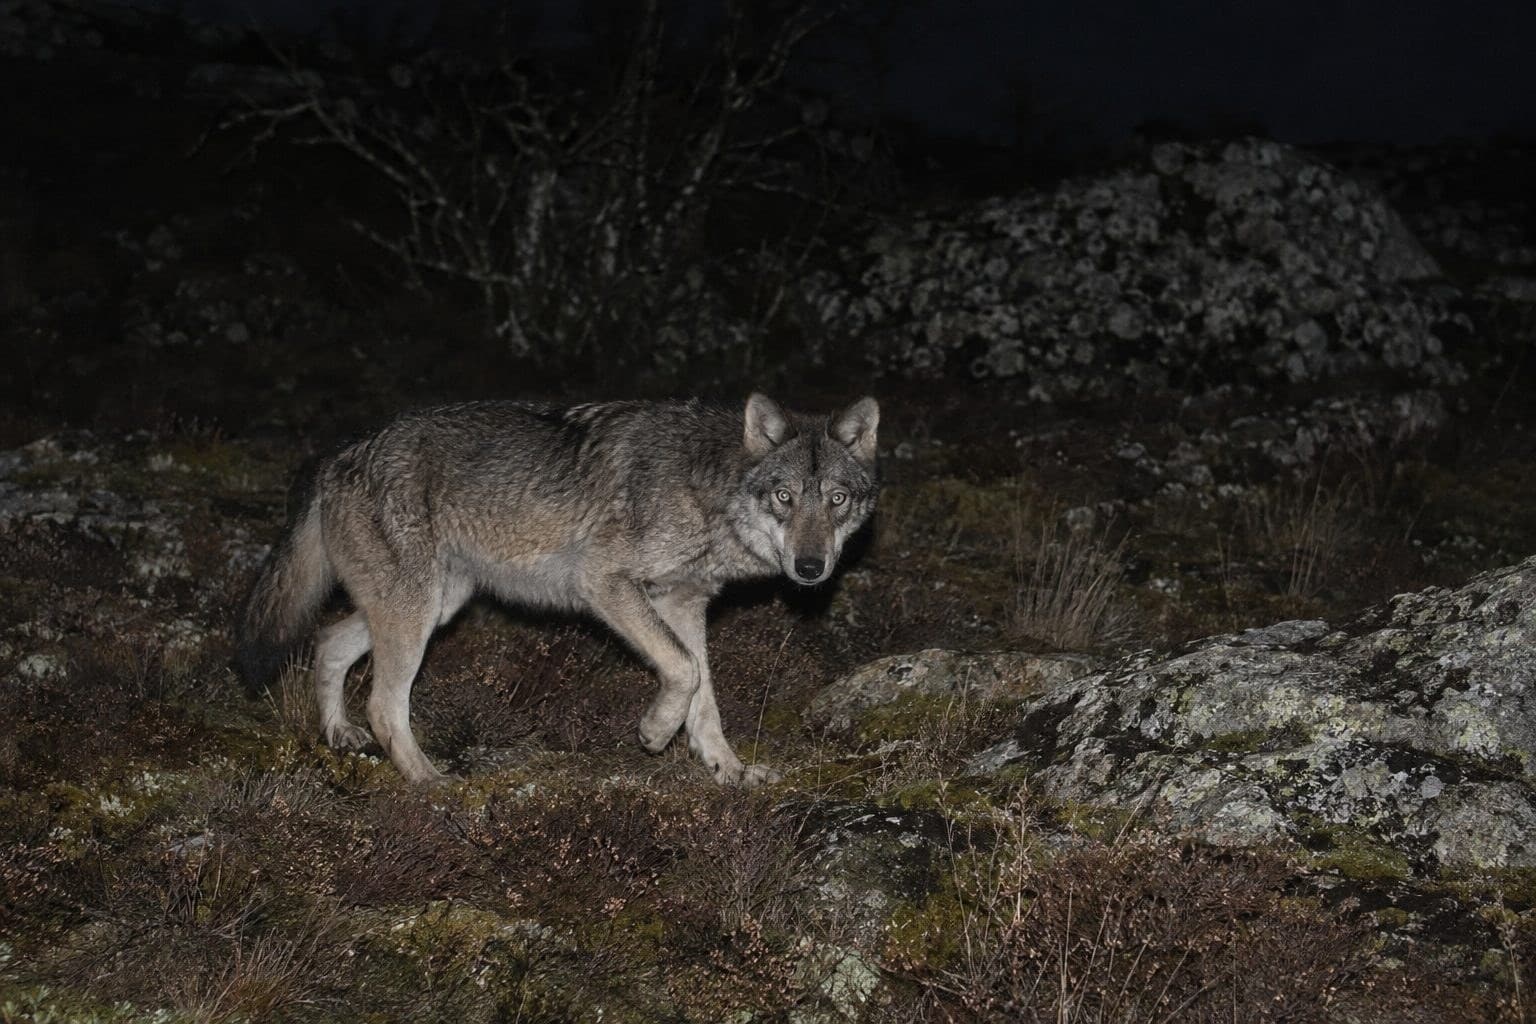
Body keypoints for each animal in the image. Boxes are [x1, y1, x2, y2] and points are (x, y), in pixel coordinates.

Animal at [235, 393, 879, 786]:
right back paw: (428, 782)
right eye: (785, 497)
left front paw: (728, 771)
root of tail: (340, 454)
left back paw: (338, 735)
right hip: (415, 614)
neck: (710, 492)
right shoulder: (604, 582)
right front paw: (654, 732)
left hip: (431, 607)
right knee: (383, 705)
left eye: (837, 499)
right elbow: (684, 671)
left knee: (328, 643)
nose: (811, 567)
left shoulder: (683, 603)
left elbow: (705, 696)